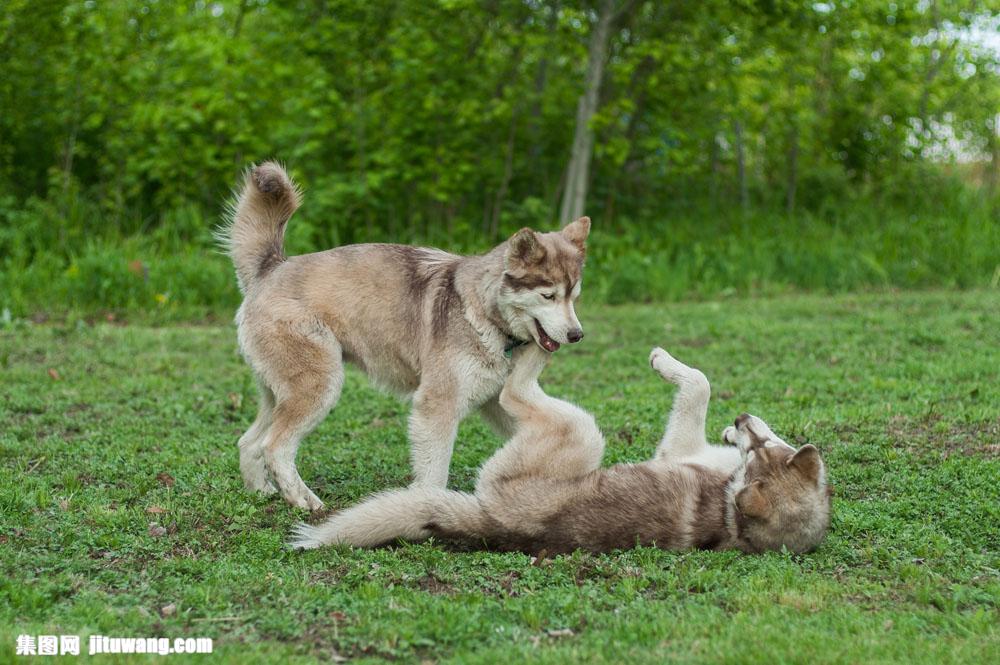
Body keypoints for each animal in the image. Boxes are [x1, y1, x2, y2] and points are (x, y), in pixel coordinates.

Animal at [219, 161, 588, 508]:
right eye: (548, 296)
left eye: (574, 296)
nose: (576, 335)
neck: (482, 312)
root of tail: (272, 267)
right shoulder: (436, 406)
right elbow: (435, 473)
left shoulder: (497, 403)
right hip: (319, 387)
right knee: (275, 446)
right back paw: (303, 500)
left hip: (279, 393)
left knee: (249, 442)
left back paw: (262, 491)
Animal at [292, 342, 832, 556]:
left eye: (762, 449)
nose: (741, 421)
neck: (732, 508)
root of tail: (495, 520)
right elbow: (701, 382)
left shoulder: (675, 450)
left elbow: (697, 382)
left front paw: (662, 361)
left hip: (582, 431)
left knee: (514, 392)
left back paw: (531, 352)